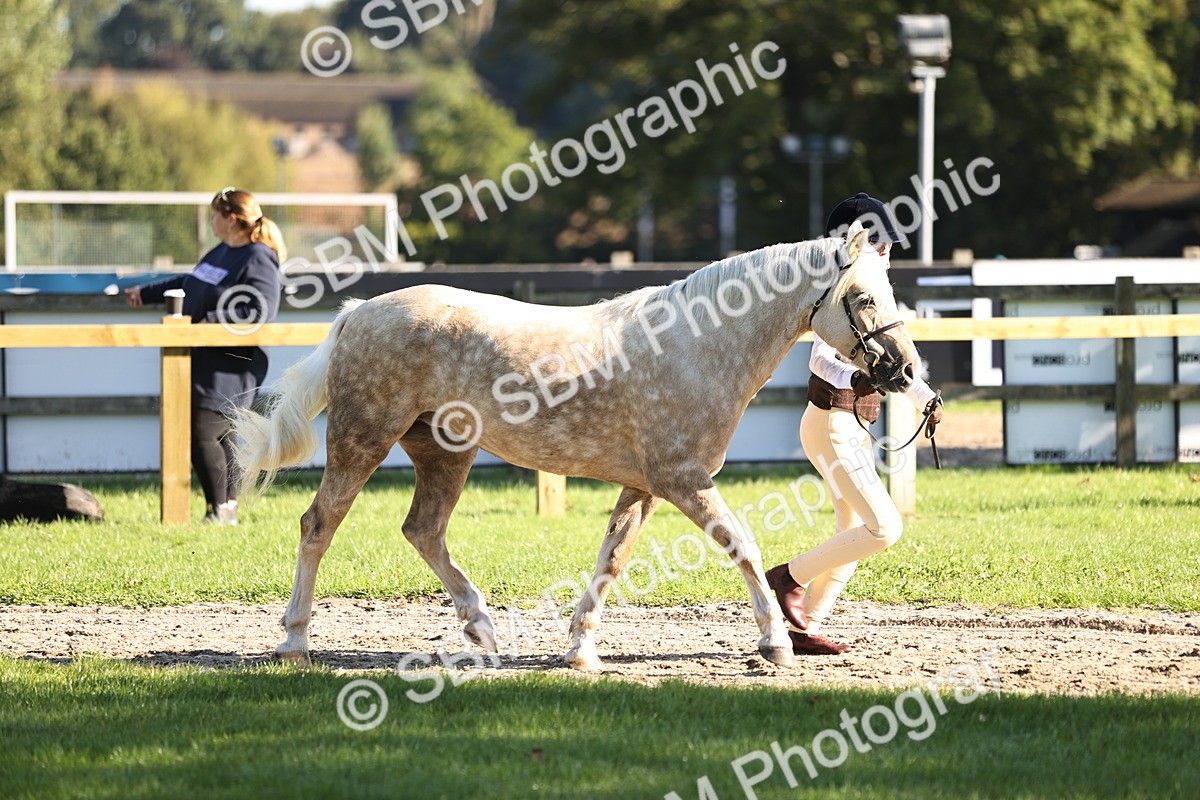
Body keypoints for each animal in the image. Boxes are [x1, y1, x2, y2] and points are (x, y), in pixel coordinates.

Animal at [234, 222, 919, 670]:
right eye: (863, 298)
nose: (905, 371)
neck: (698, 345)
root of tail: (356, 311)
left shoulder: (644, 486)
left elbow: (611, 560)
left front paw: (580, 649)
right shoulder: (682, 479)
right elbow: (744, 547)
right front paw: (775, 643)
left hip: (444, 452)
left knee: (423, 530)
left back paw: (484, 630)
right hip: (363, 438)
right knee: (319, 524)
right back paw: (294, 641)